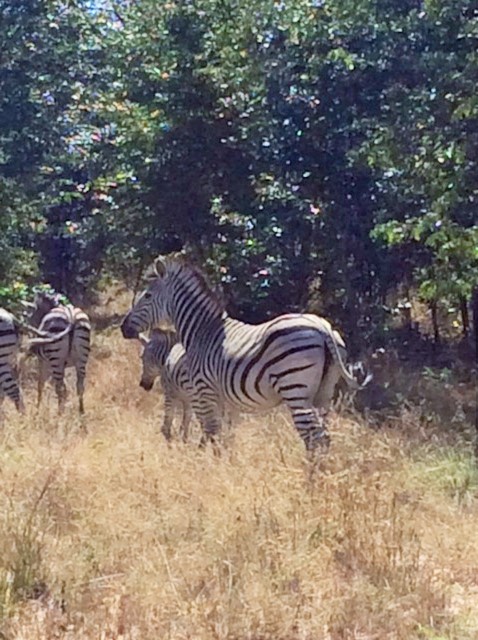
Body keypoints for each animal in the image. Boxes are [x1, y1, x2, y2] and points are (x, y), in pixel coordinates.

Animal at [121, 252, 372, 452]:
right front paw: (227, 462)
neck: (202, 330)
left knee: (313, 438)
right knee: (325, 438)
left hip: (295, 389)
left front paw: (212, 467)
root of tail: (322, 327)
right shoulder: (226, 398)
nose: (124, 328)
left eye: (147, 296)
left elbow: (211, 432)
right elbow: (226, 434)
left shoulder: (204, 391)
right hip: (324, 394)